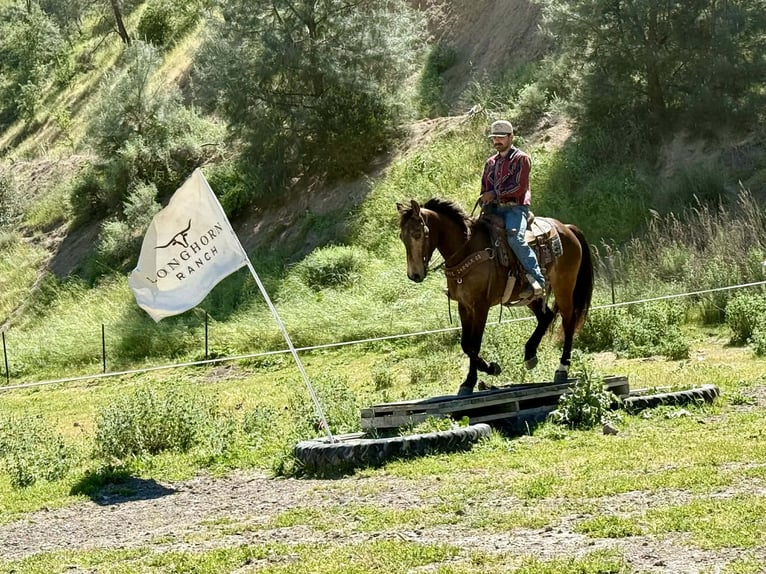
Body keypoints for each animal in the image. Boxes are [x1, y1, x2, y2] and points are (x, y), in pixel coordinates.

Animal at [396, 197, 594, 395]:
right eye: (401, 237)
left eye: (417, 234)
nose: (414, 275)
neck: (466, 249)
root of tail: (567, 228)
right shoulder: (464, 305)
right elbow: (466, 345)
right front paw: (486, 370)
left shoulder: (480, 306)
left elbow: (474, 344)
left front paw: (474, 379)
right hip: (530, 297)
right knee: (546, 317)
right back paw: (530, 355)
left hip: (564, 286)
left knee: (568, 322)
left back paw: (562, 368)